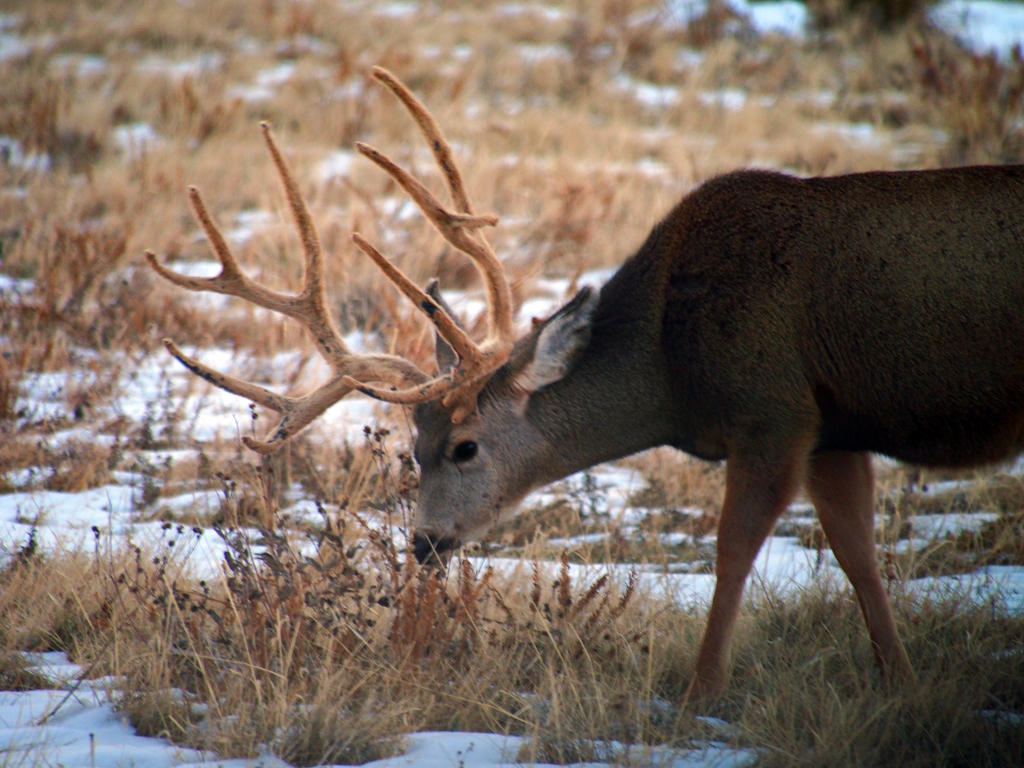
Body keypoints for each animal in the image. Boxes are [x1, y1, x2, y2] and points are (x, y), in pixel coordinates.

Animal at [148, 67, 1024, 704]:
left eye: (464, 447)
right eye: (411, 450)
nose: (424, 543)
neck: (670, 364)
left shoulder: (772, 408)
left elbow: (734, 548)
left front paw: (700, 693)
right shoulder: (832, 425)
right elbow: (858, 551)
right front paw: (900, 682)